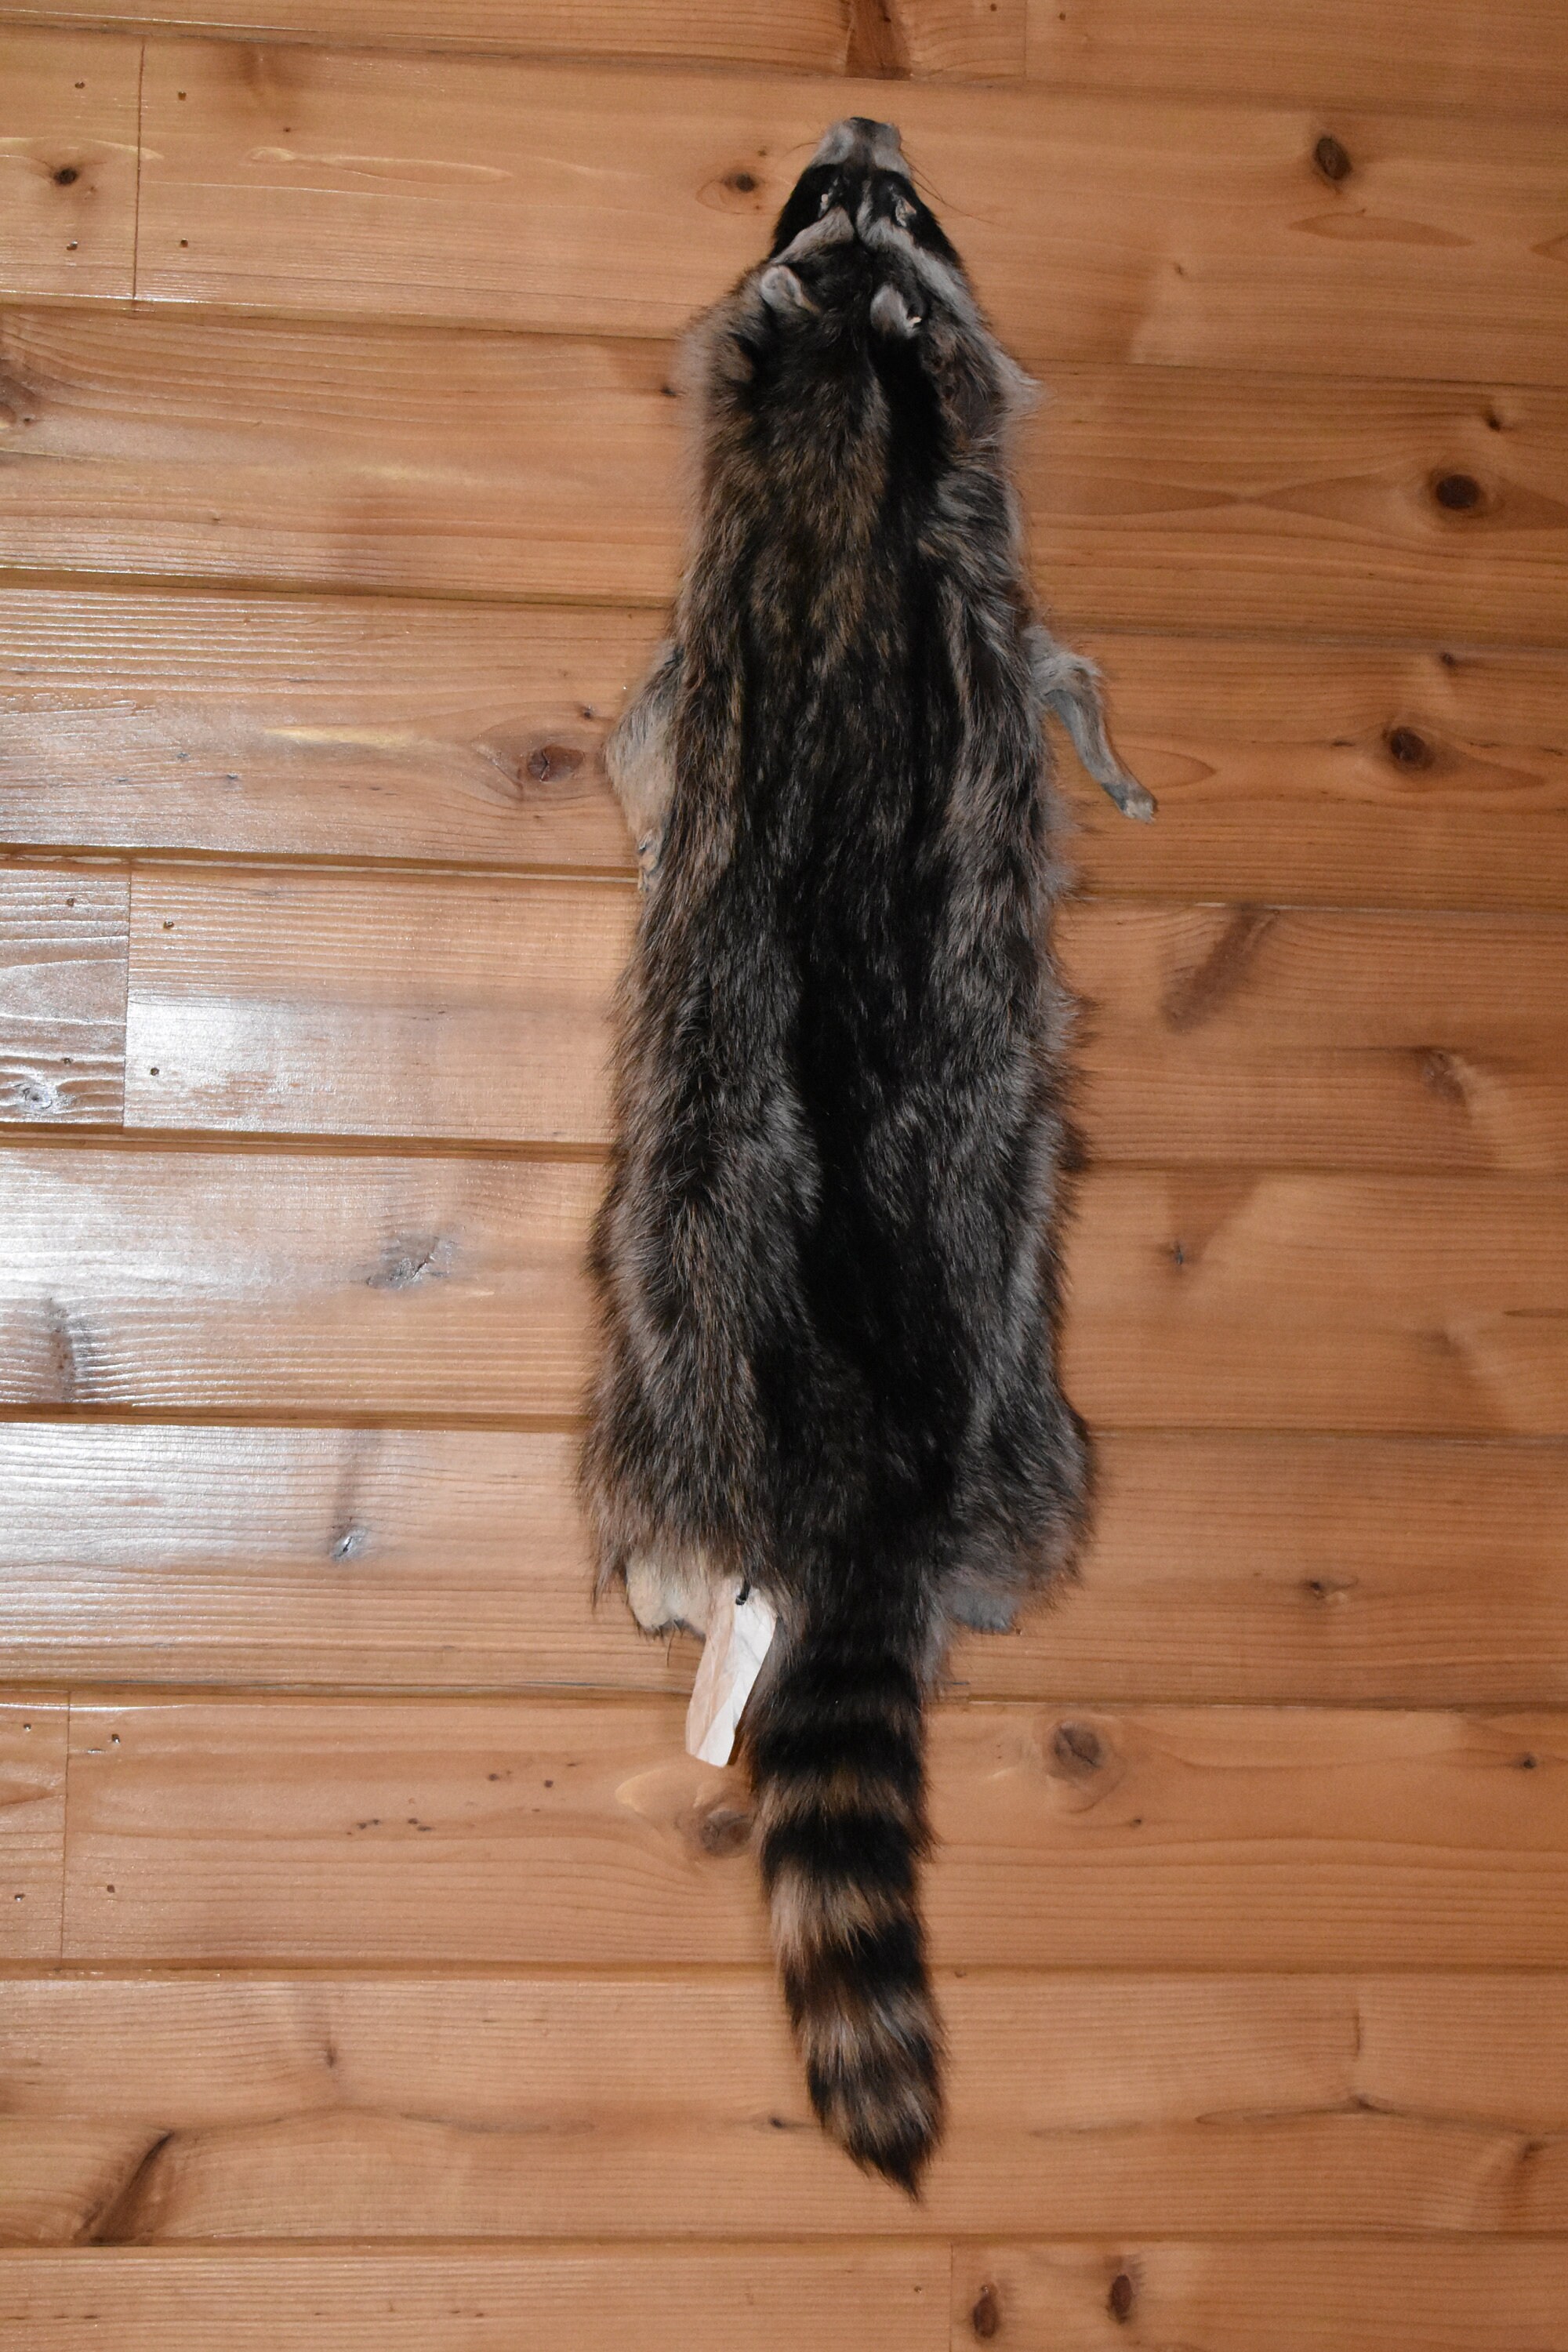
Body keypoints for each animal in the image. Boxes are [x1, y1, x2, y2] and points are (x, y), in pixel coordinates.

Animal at [581, 117, 1152, 2192]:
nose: (860, 127)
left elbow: (650, 742)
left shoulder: (760, 604)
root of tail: (860, 1467)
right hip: (1024, 1397)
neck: (846, 406)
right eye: (835, 200)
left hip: (677, 1303)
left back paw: (667, 1569)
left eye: (892, 213)